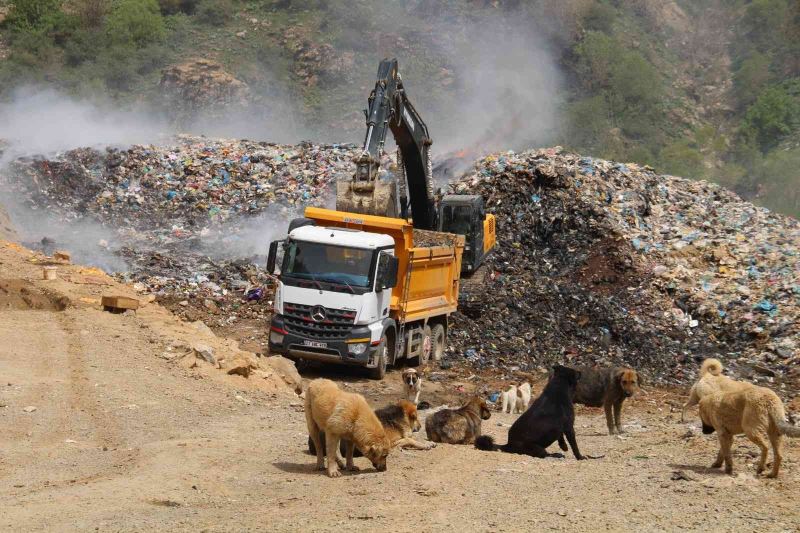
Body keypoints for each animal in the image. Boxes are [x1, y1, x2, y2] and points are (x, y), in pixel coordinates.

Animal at [310, 400, 438, 454]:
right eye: (416, 418)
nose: (420, 426)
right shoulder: (391, 442)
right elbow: (409, 440)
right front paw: (424, 445)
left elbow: (412, 439)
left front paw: (429, 442)